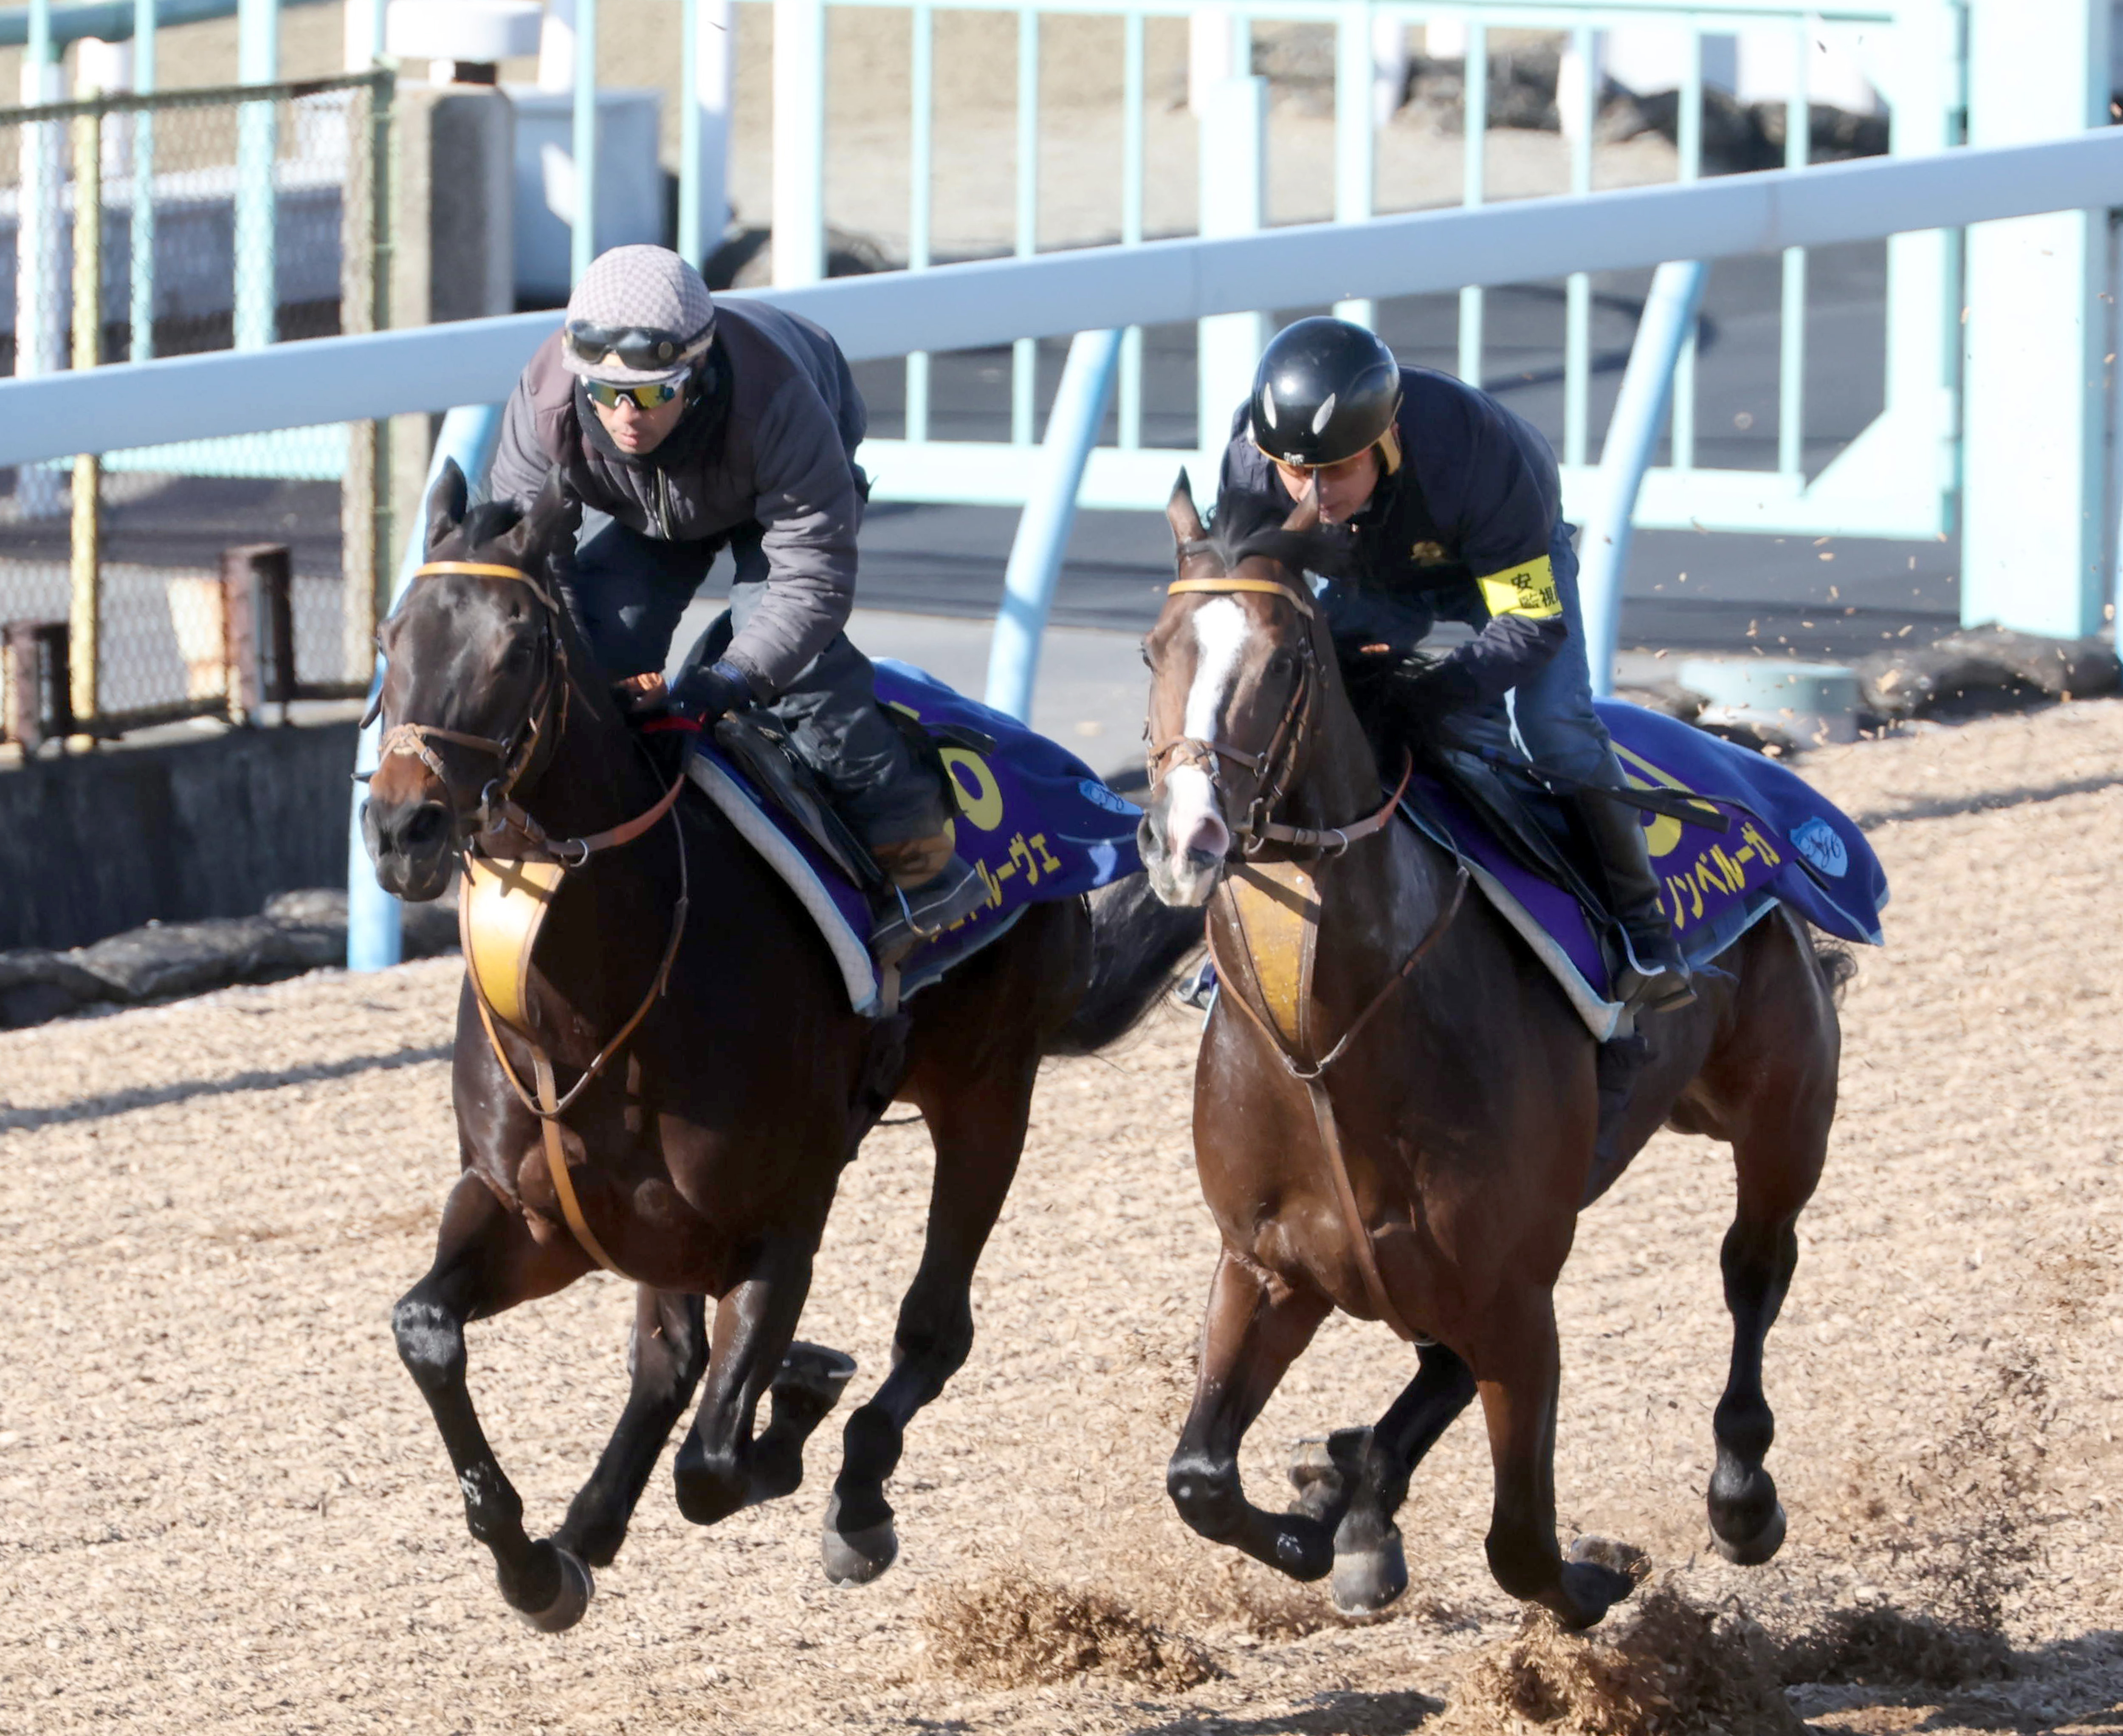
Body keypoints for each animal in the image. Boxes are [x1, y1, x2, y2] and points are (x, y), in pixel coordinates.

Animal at [1138, 480, 1851, 1630]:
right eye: (1152, 650)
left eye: (1288, 660)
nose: (1187, 837)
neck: (1323, 1044)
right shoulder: (1266, 1265)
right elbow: (1199, 1476)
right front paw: (1314, 1528)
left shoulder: (1518, 1296)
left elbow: (1520, 1541)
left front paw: (1600, 1574)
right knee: (1435, 1365)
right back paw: (1356, 1501)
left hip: (1783, 1109)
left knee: (1754, 1265)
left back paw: (1742, 1495)